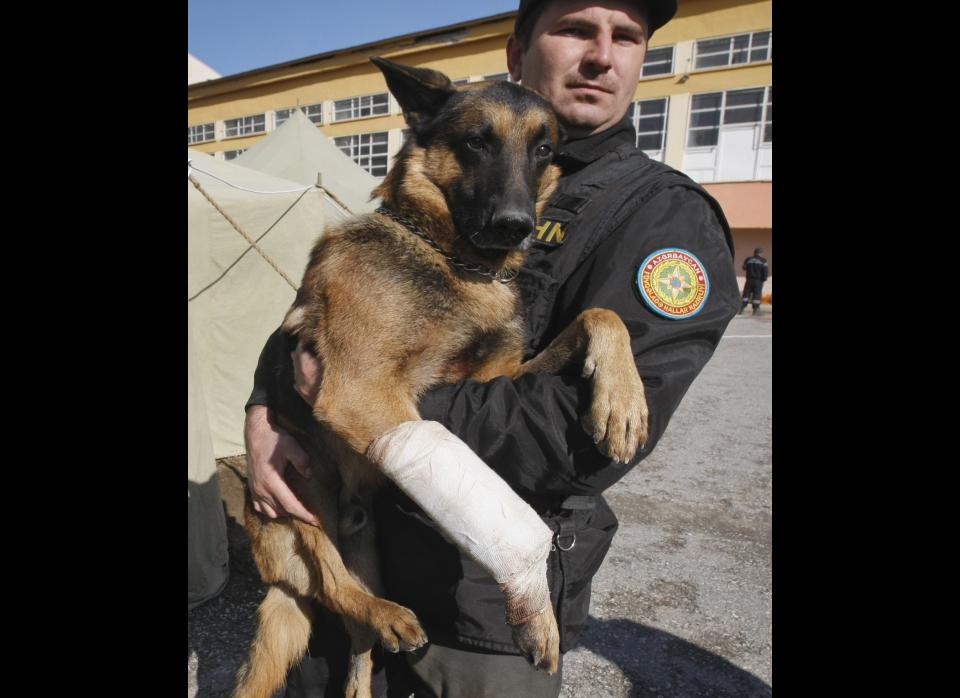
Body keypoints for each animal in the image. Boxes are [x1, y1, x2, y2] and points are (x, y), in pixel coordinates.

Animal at [233, 55, 648, 696]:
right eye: (477, 141)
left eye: (543, 149)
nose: (515, 225)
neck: (450, 259)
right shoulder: (358, 390)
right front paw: (535, 610)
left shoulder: (503, 375)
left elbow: (600, 314)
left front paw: (623, 401)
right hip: (299, 493)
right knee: (331, 581)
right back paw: (386, 612)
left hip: (363, 540)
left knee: (357, 639)